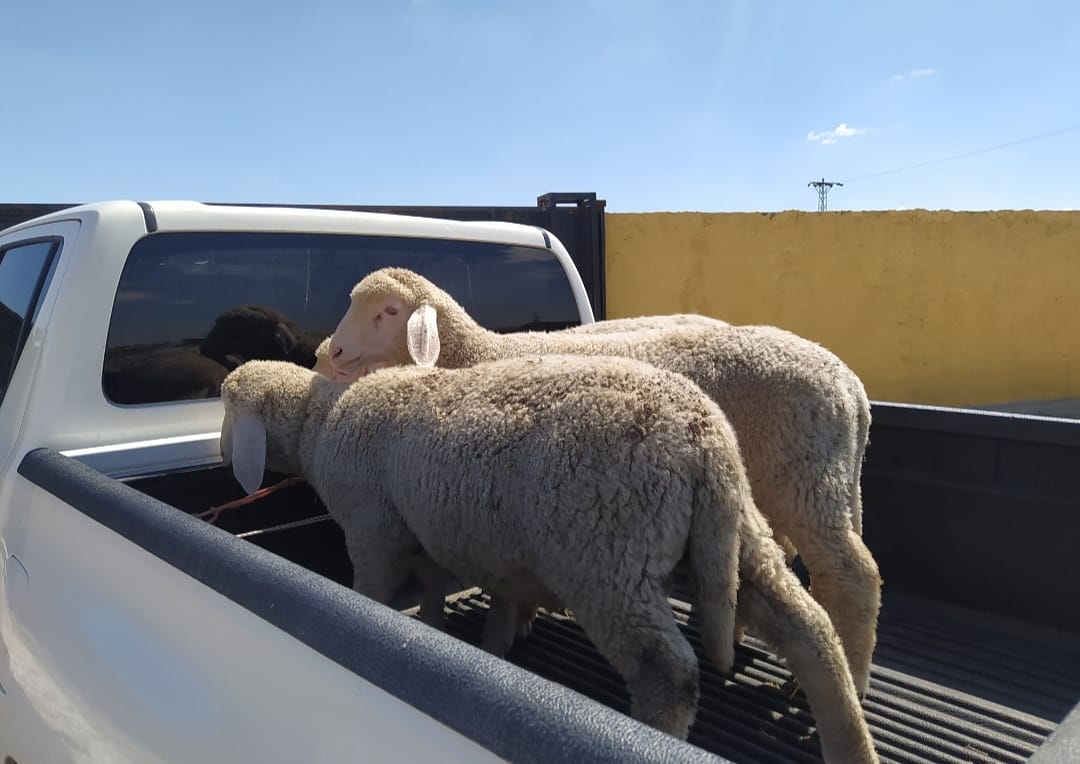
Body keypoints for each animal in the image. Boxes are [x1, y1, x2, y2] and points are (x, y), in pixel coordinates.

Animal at [220, 355, 877, 761]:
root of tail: (704, 438)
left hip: (605, 554)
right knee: (811, 628)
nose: (222, 453)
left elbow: (374, 593)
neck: (321, 423)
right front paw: (477, 639)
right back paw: (849, 743)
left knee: (668, 674)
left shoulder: (372, 532)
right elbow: (445, 589)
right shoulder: (438, 527)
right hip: (736, 534)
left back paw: (648, 731)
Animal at [325, 267, 881, 699]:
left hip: (804, 481)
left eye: (389, 311)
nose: (331, 351)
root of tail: (852, 388)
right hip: (826, 482)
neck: (480, 354)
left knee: (852, 575)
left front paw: (516, 624)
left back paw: (847, 682)